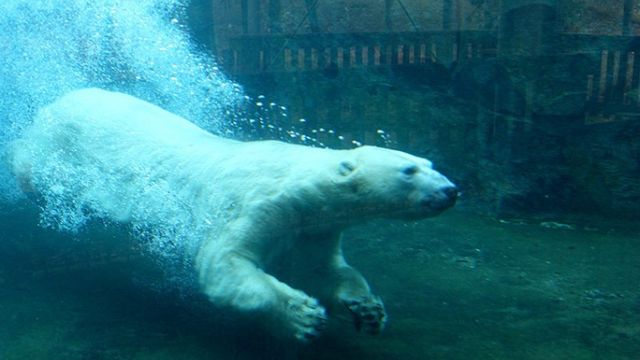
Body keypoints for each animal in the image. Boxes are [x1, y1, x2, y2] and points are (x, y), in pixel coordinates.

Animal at [5, 88, 456, 342]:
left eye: (430, 162)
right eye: (409, 170)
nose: (451, 191)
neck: (299, 183)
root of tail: (52, 104)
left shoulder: (313, 229)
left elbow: (323, 270)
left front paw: (367, 309)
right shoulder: (256, 203)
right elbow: (224, 264)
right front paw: (301, 317)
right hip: (52, 150)